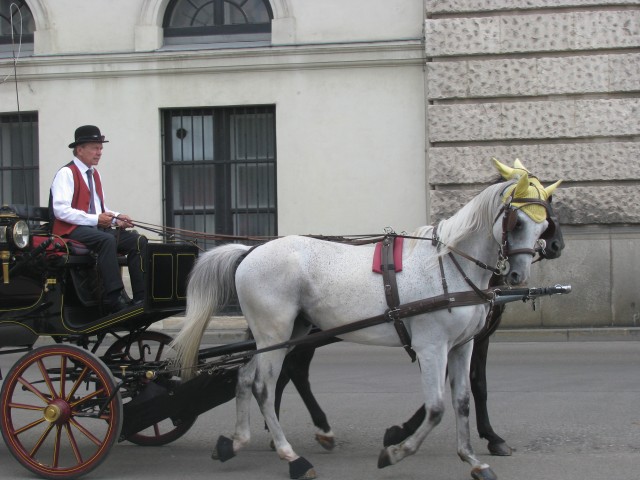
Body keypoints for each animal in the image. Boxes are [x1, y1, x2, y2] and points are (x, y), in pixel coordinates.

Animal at [170, 164, 560, 480]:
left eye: (543, 222)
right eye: (517, 221)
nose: (518, 275)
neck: (448, 264)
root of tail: (250, 251)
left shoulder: (462, 346)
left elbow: (462, 400)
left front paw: (472, 459)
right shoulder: (432, 348)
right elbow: (436, 408)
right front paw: (395, 451)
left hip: (286, 333)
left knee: (246, 377)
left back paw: (238, 441)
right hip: (273, 332)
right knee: (263, 387)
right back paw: (290, 455)